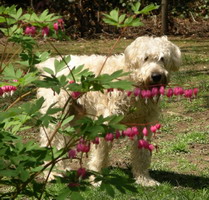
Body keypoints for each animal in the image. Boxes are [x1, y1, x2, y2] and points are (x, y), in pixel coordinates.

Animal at [37, 36, 181, 186]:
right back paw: (51, 173)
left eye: (162, 58)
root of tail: (48, 64)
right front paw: (97, 179)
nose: (156, 76)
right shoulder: (105, 123)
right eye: (145, 58)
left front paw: (144, 179)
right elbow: (100, 155)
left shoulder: (143, 124)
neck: (133, 82)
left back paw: (61, 169)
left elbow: (142, 154)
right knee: (50, 141)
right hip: (55, 116)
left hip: (73, 119)